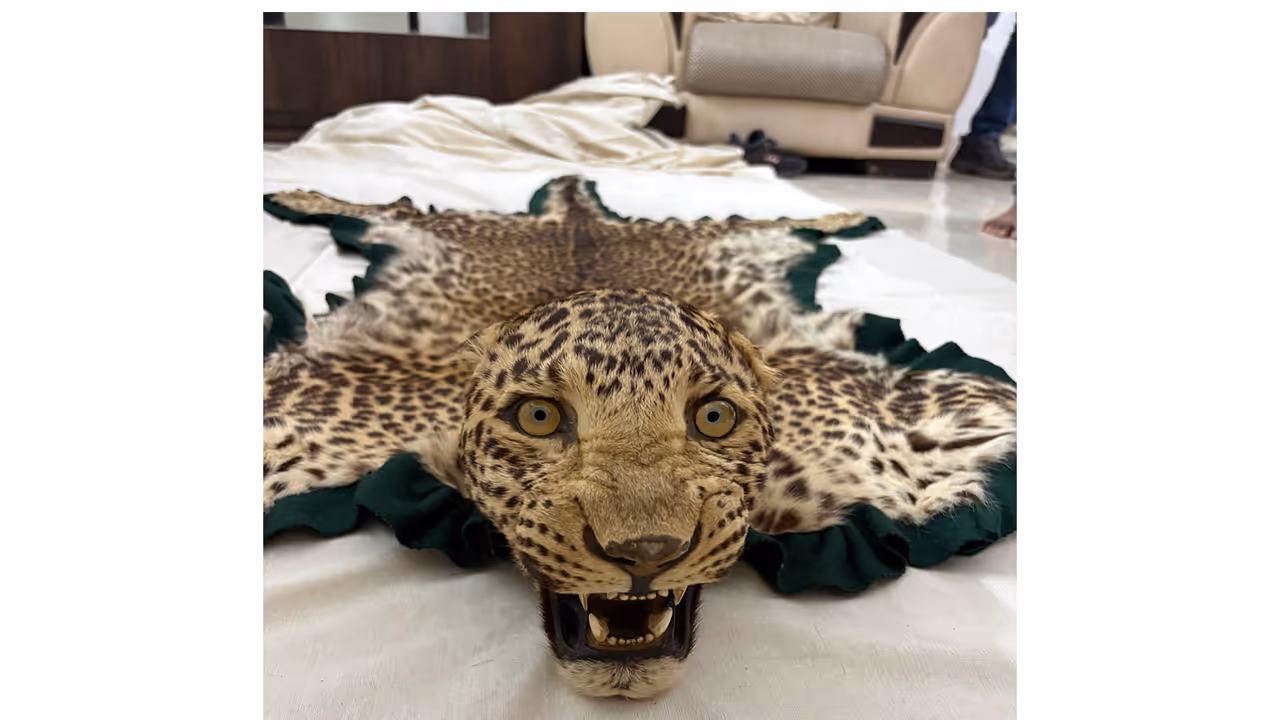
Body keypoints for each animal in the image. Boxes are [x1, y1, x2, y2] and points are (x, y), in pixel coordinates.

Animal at [263, 176, 1017, 699]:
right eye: (539, 418)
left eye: (714, 418)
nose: (646, 553)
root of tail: (576, 212)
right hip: (453, 228)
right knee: (397, 206)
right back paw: (292, 193)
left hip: (709, 236)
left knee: (763, 217)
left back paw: (845, 213)